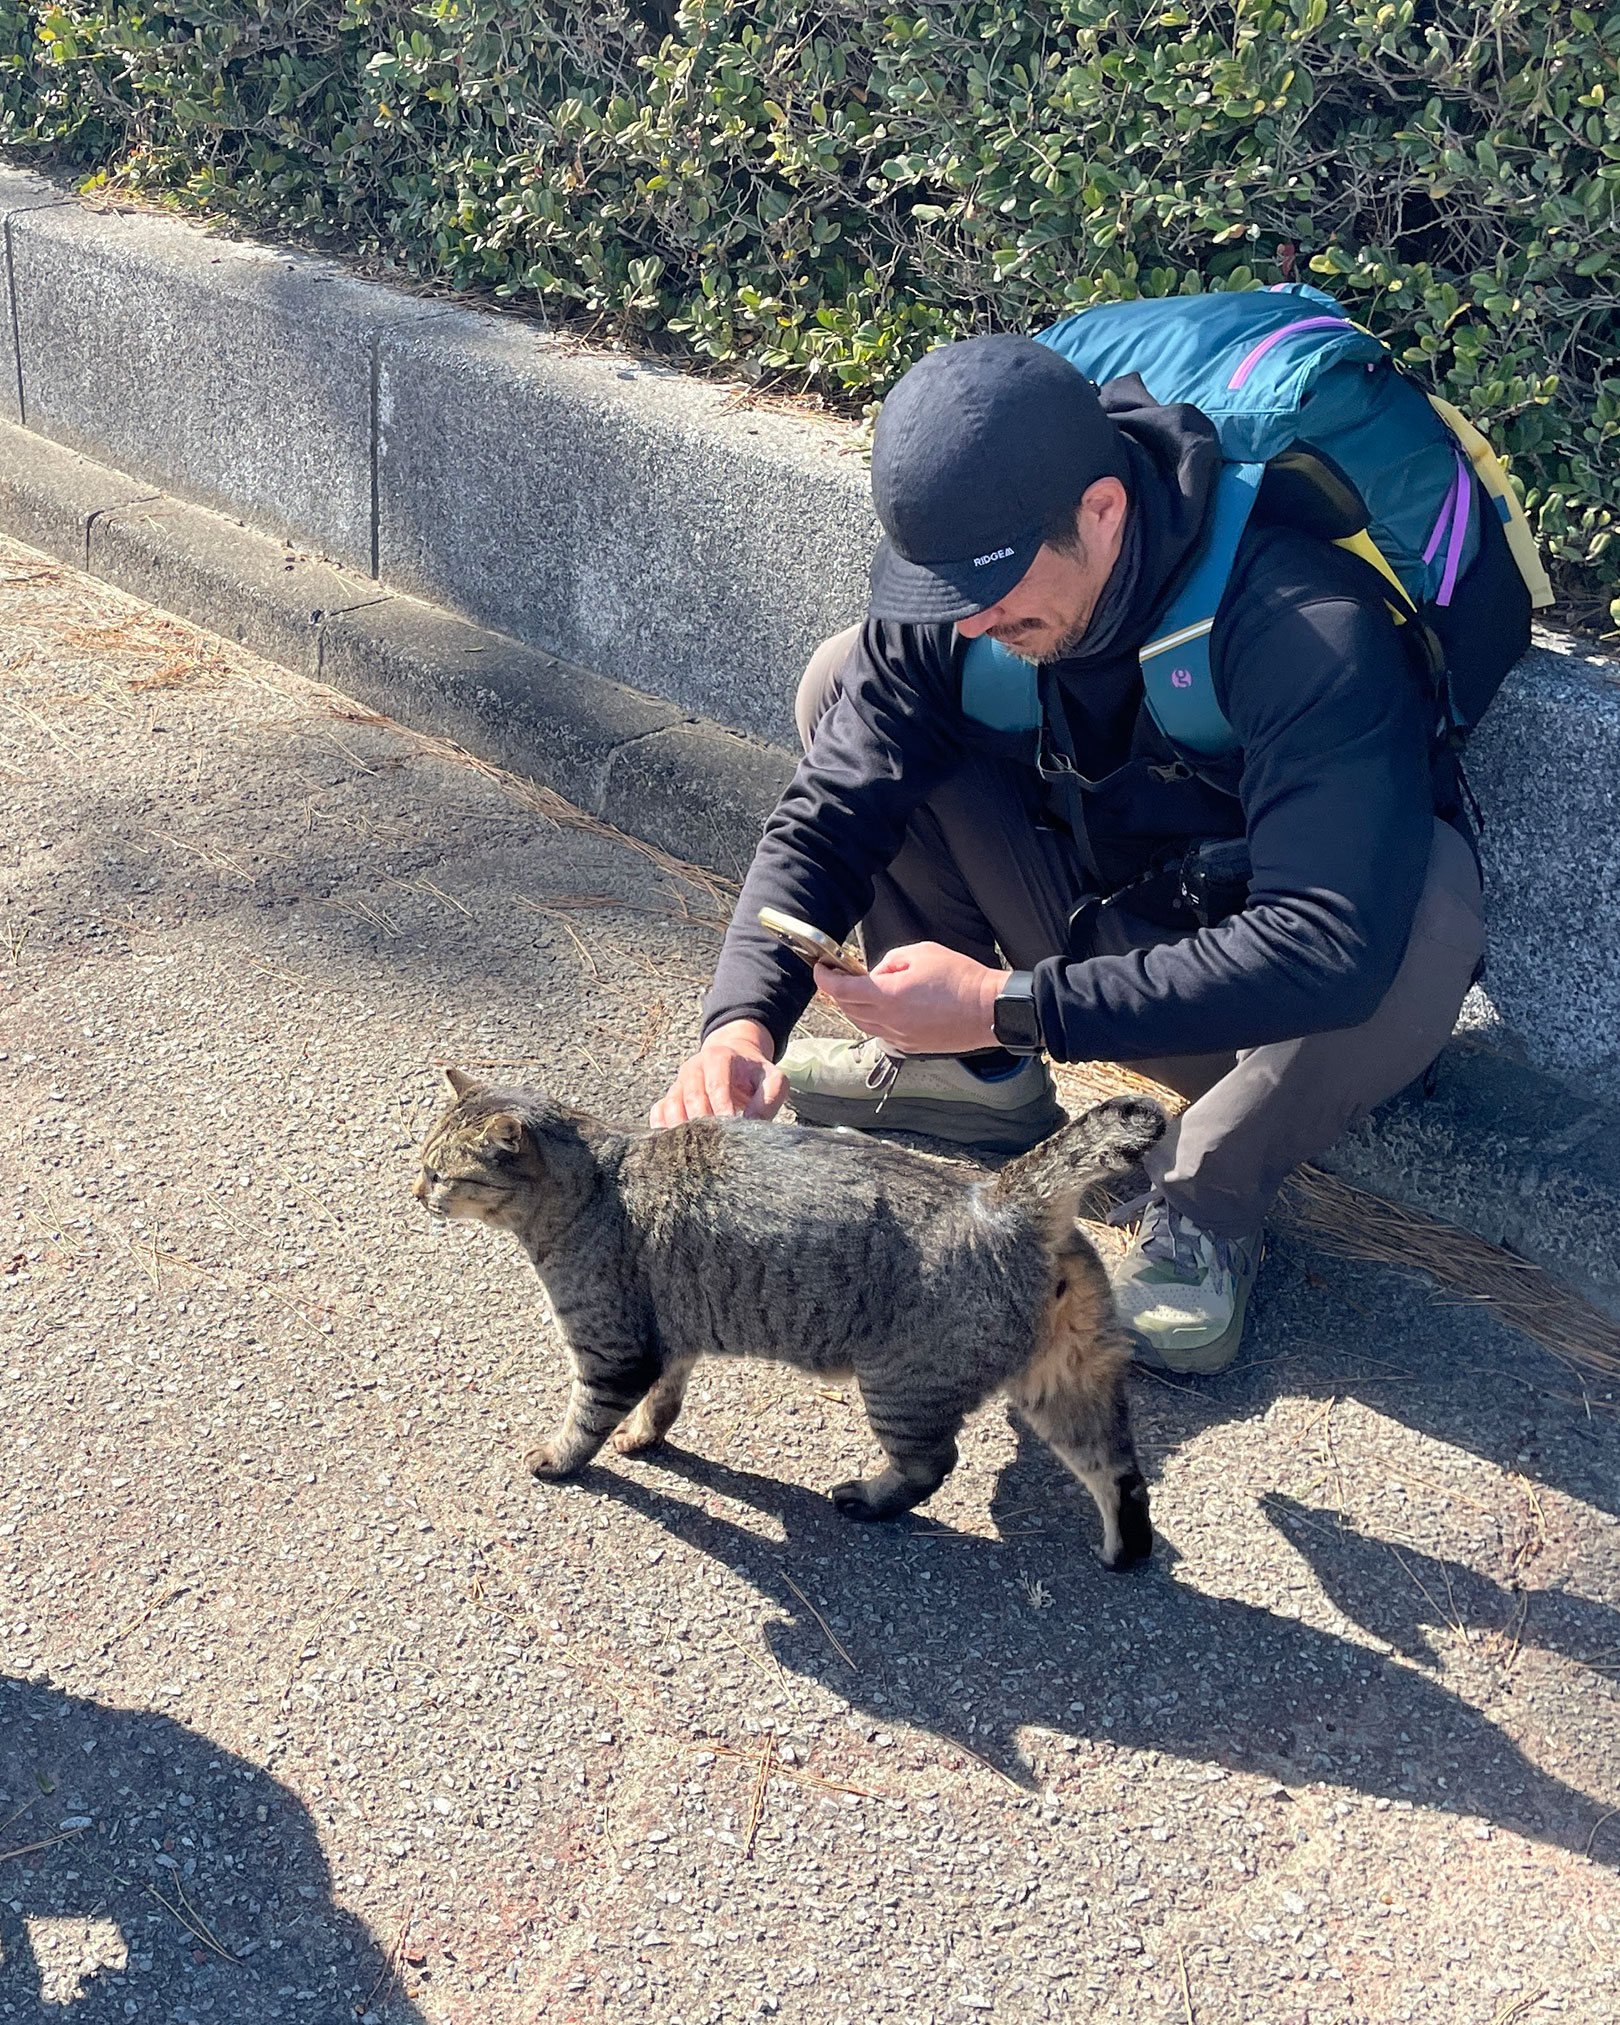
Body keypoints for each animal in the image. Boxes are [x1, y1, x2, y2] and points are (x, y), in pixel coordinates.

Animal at [411, 1077, 1158, 1563]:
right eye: (423, 1164)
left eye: (440, 1173)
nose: (414, 1191)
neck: (598, 1181)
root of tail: (1001, 1196)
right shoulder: (670, 1339)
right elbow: (664, 1401)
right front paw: (644, 1436)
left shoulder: (612, 1351)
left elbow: (583, 1422)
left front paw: (558, 1459)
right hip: (1068, 1383)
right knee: (1119, 1471)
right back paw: (1125, 1549)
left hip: (902, 1386)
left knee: (933, 1462)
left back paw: (867, 1499)